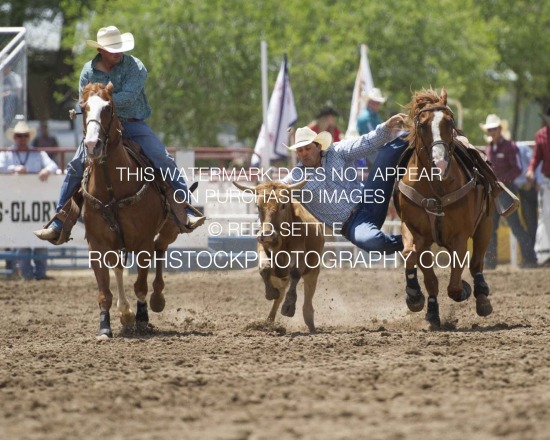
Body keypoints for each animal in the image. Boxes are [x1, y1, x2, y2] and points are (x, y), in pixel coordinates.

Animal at [81, 82, 179, 338]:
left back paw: (157, 298)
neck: (112, 188)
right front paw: (106, 325)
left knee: (160, 247)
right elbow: (104, 290)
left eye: (108, 107)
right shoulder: (96, 244)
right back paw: (125, 313)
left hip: (169, 229)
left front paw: (142, 318)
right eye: (83, 108)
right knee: (118, 266)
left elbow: (140, 286)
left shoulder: (143, 241)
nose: (93, 145)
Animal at [396, 88, 496, 326]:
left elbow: (455, 285)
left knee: (476, 264)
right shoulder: (414, 231)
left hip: (485, 226)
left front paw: (464, 290)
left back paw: (481, 296)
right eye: (422, 124)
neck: (436, 187)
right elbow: (412, 257)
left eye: (449, 122)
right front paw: (418, 299)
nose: (440, 164)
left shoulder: (460, 236)